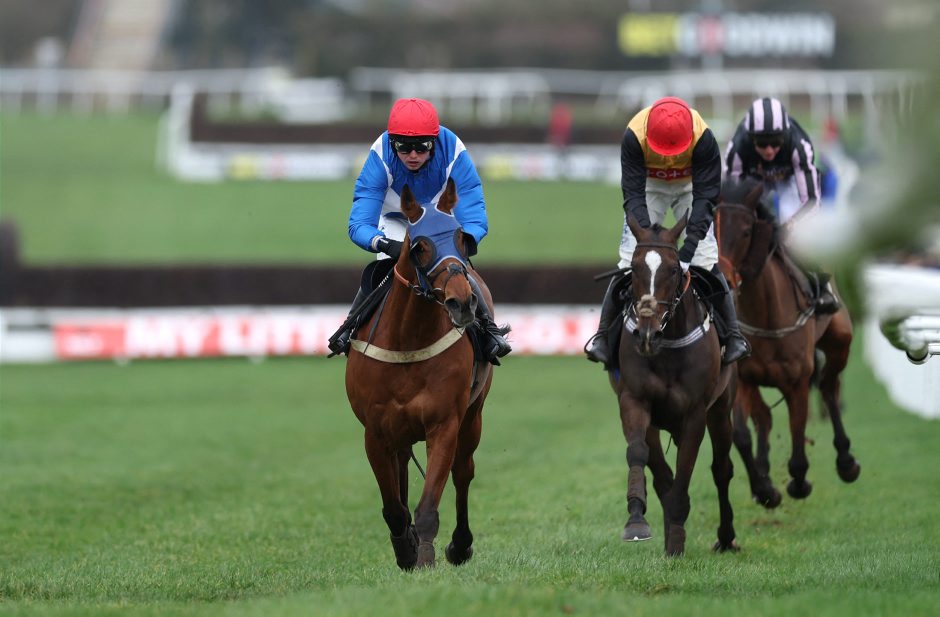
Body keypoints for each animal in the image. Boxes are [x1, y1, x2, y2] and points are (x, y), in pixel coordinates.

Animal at [345, 178, 494, 569]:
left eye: (461, 238)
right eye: (419, 246)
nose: (463, 302)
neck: (408, 338)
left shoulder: (444, 423)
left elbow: (429, 503)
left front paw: (426, 556)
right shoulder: (375, 432)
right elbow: (394, 506)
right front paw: (406, 550)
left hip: (473, 416)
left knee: (463, 471)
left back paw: (460, 545)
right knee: (402, 472)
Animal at [613, 214, 738, 556]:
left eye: (672, 269)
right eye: (634, 267)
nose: (647, 334)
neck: (666, 345)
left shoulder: (695, 413)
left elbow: (687, 469)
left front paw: (678, 539)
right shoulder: (634, 400)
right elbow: (640, 454)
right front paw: (637, 521)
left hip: (721, 409)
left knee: (722, 469)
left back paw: (726, 537)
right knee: (661, 473)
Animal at [715, 178, 860, 508]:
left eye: (746, 231)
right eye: (710, 229)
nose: (724, 280)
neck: (765, 314)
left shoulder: (797, 382)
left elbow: (797, 433)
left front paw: (798, 482)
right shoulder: (744, 378)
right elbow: (742, 435)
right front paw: (765, 489)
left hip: (840, 342)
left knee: (830, 389)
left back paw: (846, 461)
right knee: (765, 417)